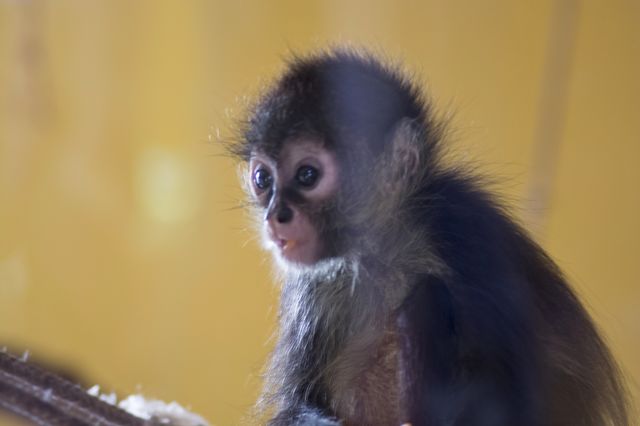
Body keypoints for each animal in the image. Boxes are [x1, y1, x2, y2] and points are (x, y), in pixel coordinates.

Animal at [231, 48, 630, 426]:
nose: (276, 216)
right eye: (263, 179)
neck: (385, 252)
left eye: (307, 175)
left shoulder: (462, 229)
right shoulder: (315, 288)